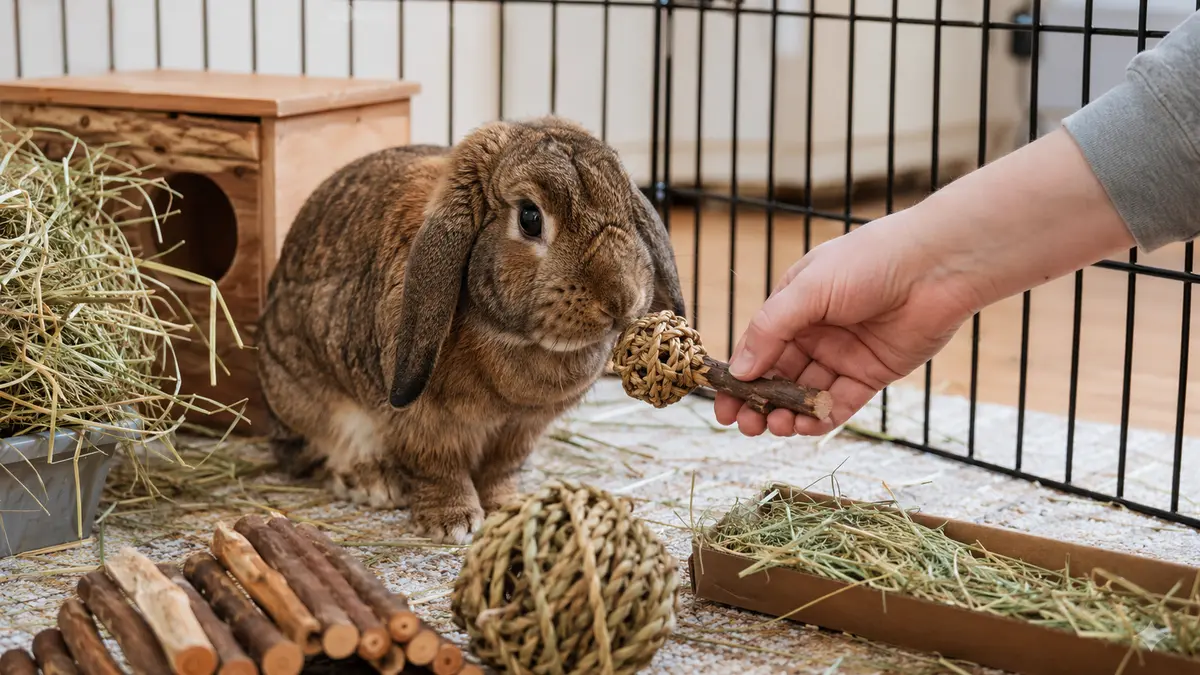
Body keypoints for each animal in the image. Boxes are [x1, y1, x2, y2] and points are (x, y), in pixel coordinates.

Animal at [256, 116, 686, 544]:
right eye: (530, 218)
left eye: (627, 209)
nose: (620, 299)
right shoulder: (422, 423)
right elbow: (439, 469)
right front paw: (453, 523)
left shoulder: (521, 430)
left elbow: (500, 471)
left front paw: (509, 507)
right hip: (306, 394)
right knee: (322, 451)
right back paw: (374, 484)